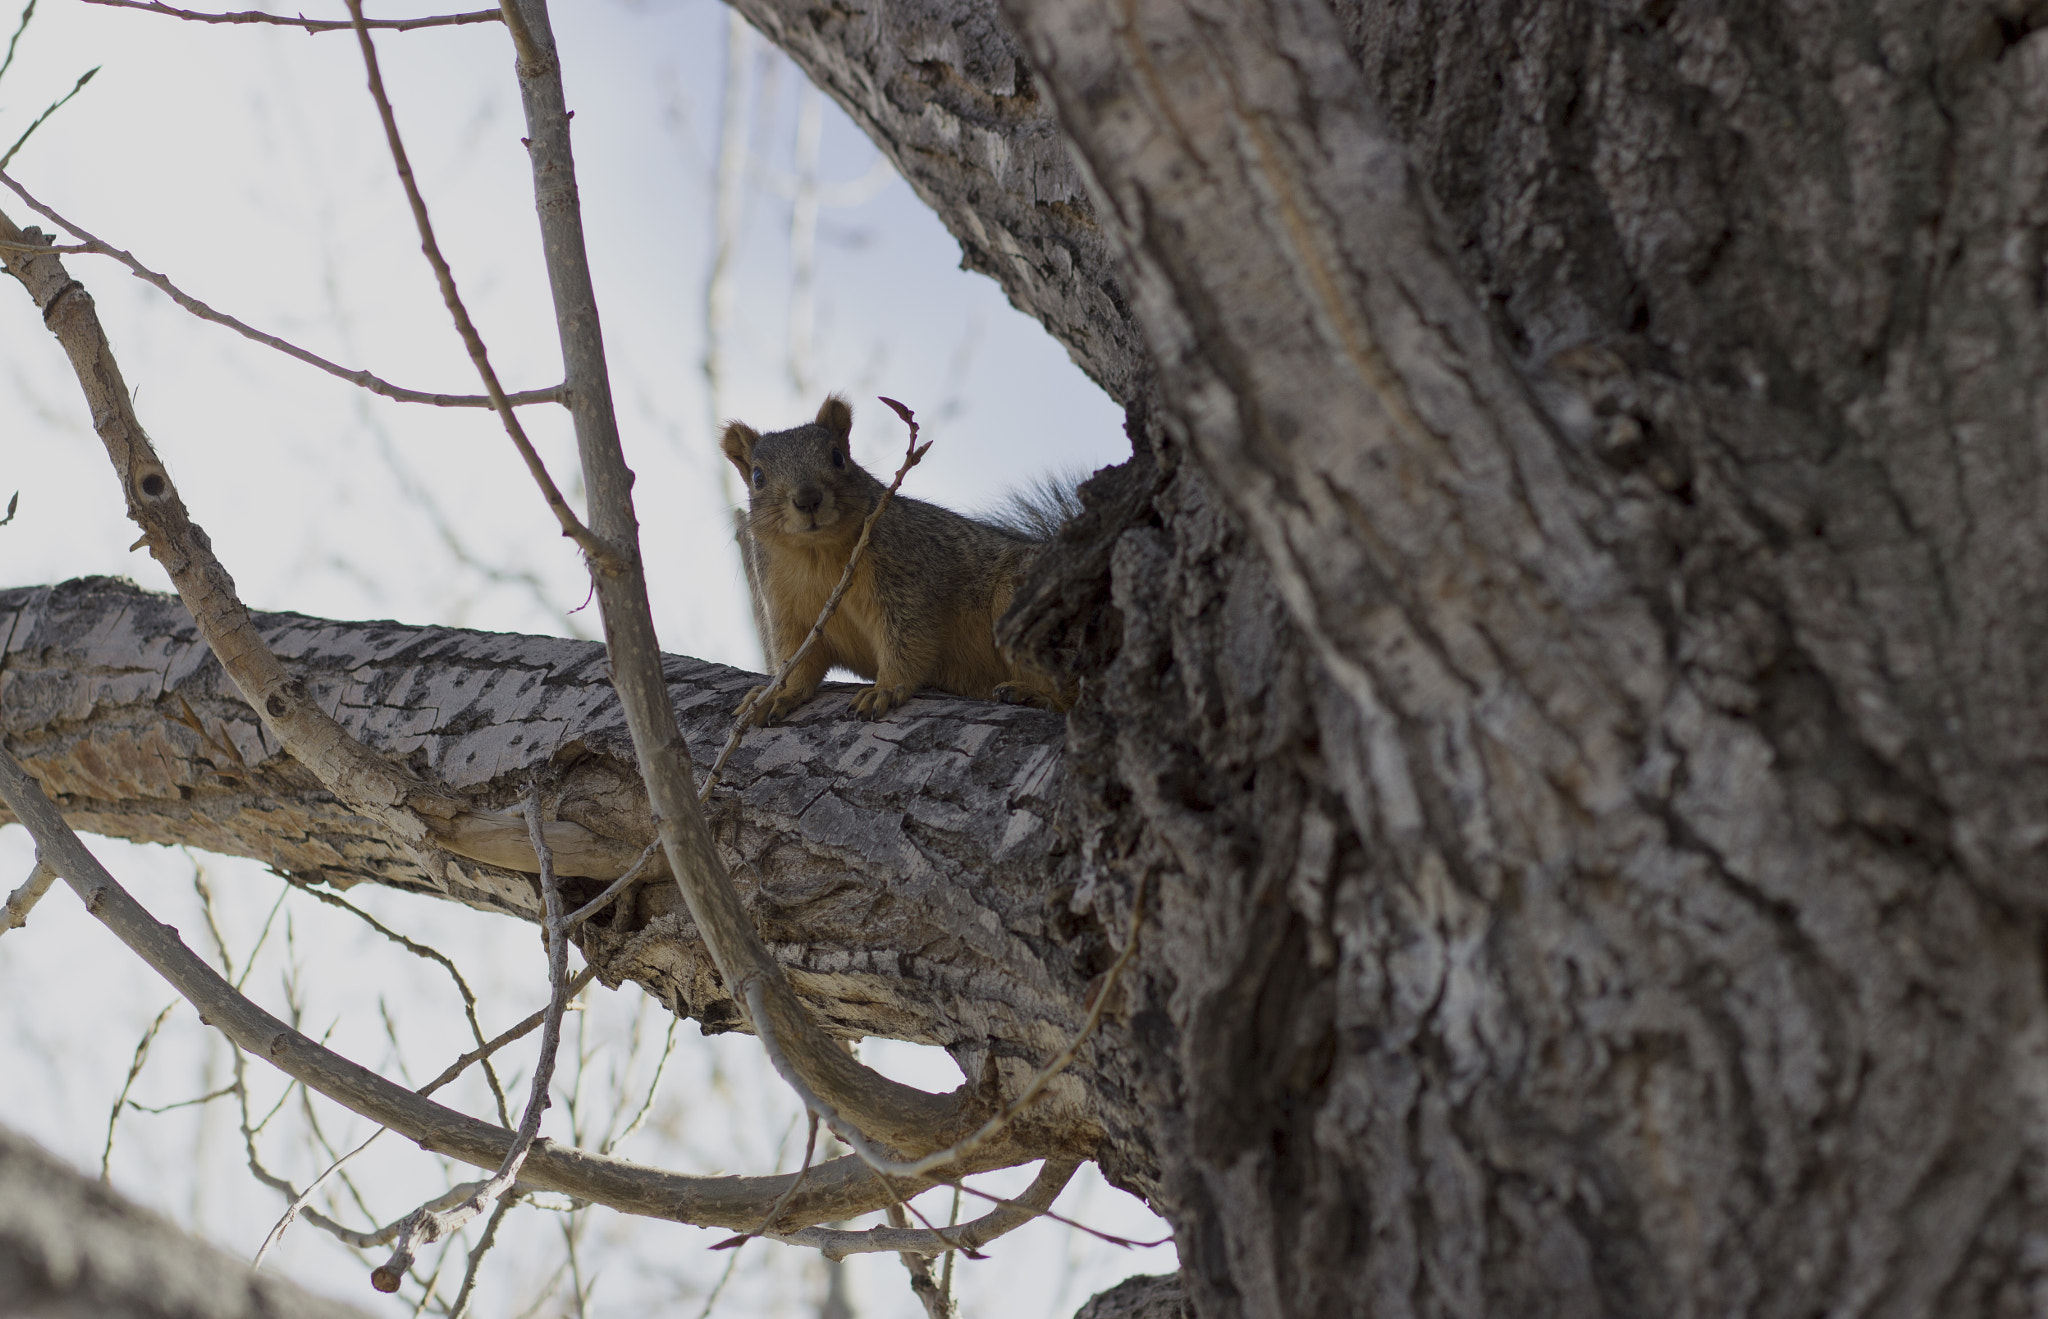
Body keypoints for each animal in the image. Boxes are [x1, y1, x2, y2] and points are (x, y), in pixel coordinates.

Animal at [720, 395, 1076, 722]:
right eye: (758, 477)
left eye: (838, 457)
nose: (808, 499)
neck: (816, 554)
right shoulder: (790, 613)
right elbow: (797, 661)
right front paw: (778, 694)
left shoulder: (907, 582)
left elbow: (908, 642)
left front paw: (885, 689)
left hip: (1020, 601)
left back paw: (1035, 695)